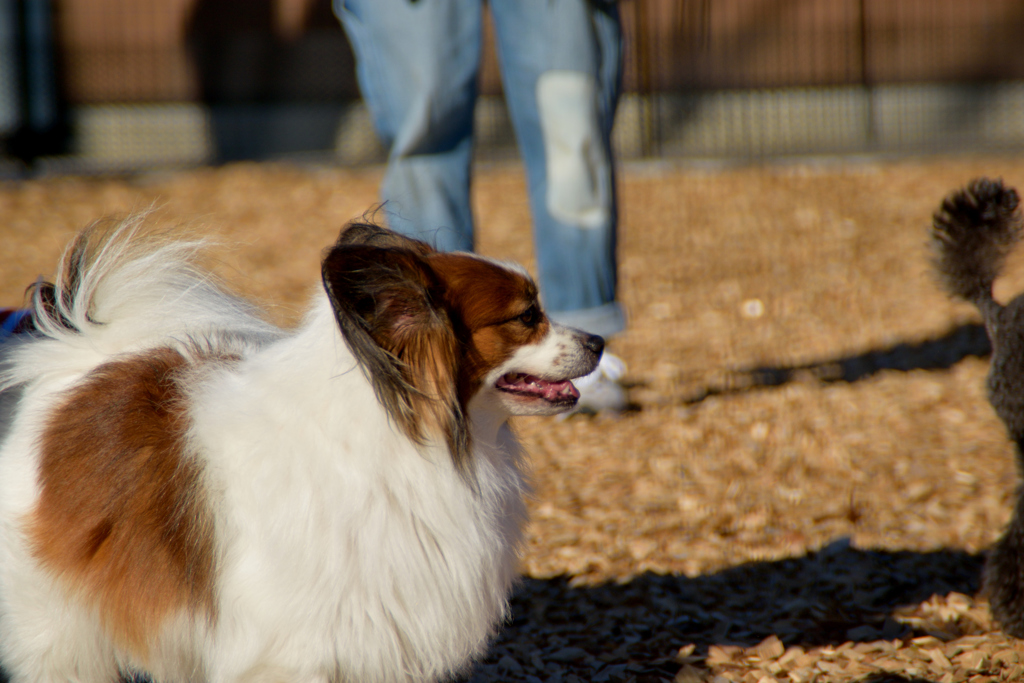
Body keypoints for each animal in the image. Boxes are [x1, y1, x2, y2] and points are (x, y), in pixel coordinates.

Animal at [0, 219, 598, 683]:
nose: (599, 341)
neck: (403, 433)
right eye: (526, 316)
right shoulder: (296, 649)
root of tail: (80, 361)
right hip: (60, 626)